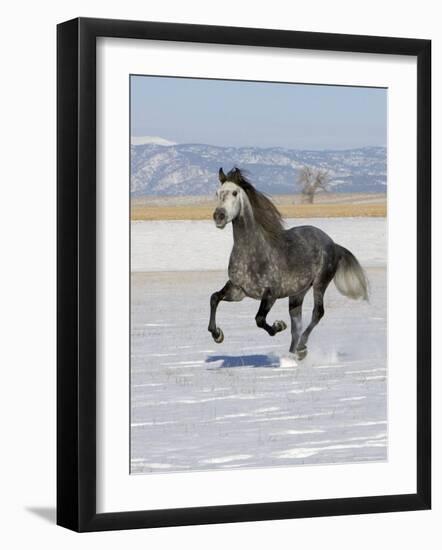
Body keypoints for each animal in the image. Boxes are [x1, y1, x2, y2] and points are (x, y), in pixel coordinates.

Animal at [209, 166, 368, 360]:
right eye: (217, 193)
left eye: (234, 192)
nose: (219, 216)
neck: (253, 254)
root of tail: (332, 243)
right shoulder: (238, 290)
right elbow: (214, 298)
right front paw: (218, 335)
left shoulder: (270, 294)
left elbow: (259, 319)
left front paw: (278, 326)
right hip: (298, 293)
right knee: (296, 325)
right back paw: (294, 355)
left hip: (320, 284)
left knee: (317, 313)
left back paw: (301, 348)